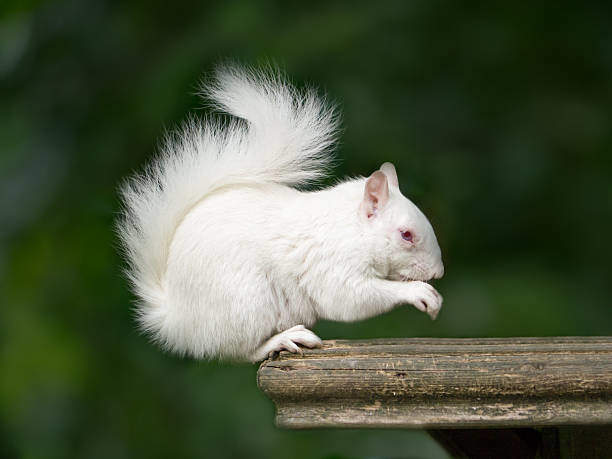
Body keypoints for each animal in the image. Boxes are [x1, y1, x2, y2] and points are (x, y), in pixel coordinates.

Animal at [118, 64, 444, 362]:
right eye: (406, 235)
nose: (438, 273)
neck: (351, 228)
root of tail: (177, 321)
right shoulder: (332, 265)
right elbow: (350, 298)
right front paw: (419, 293)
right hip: (246, 303)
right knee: (241, 352)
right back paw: (284, 340)